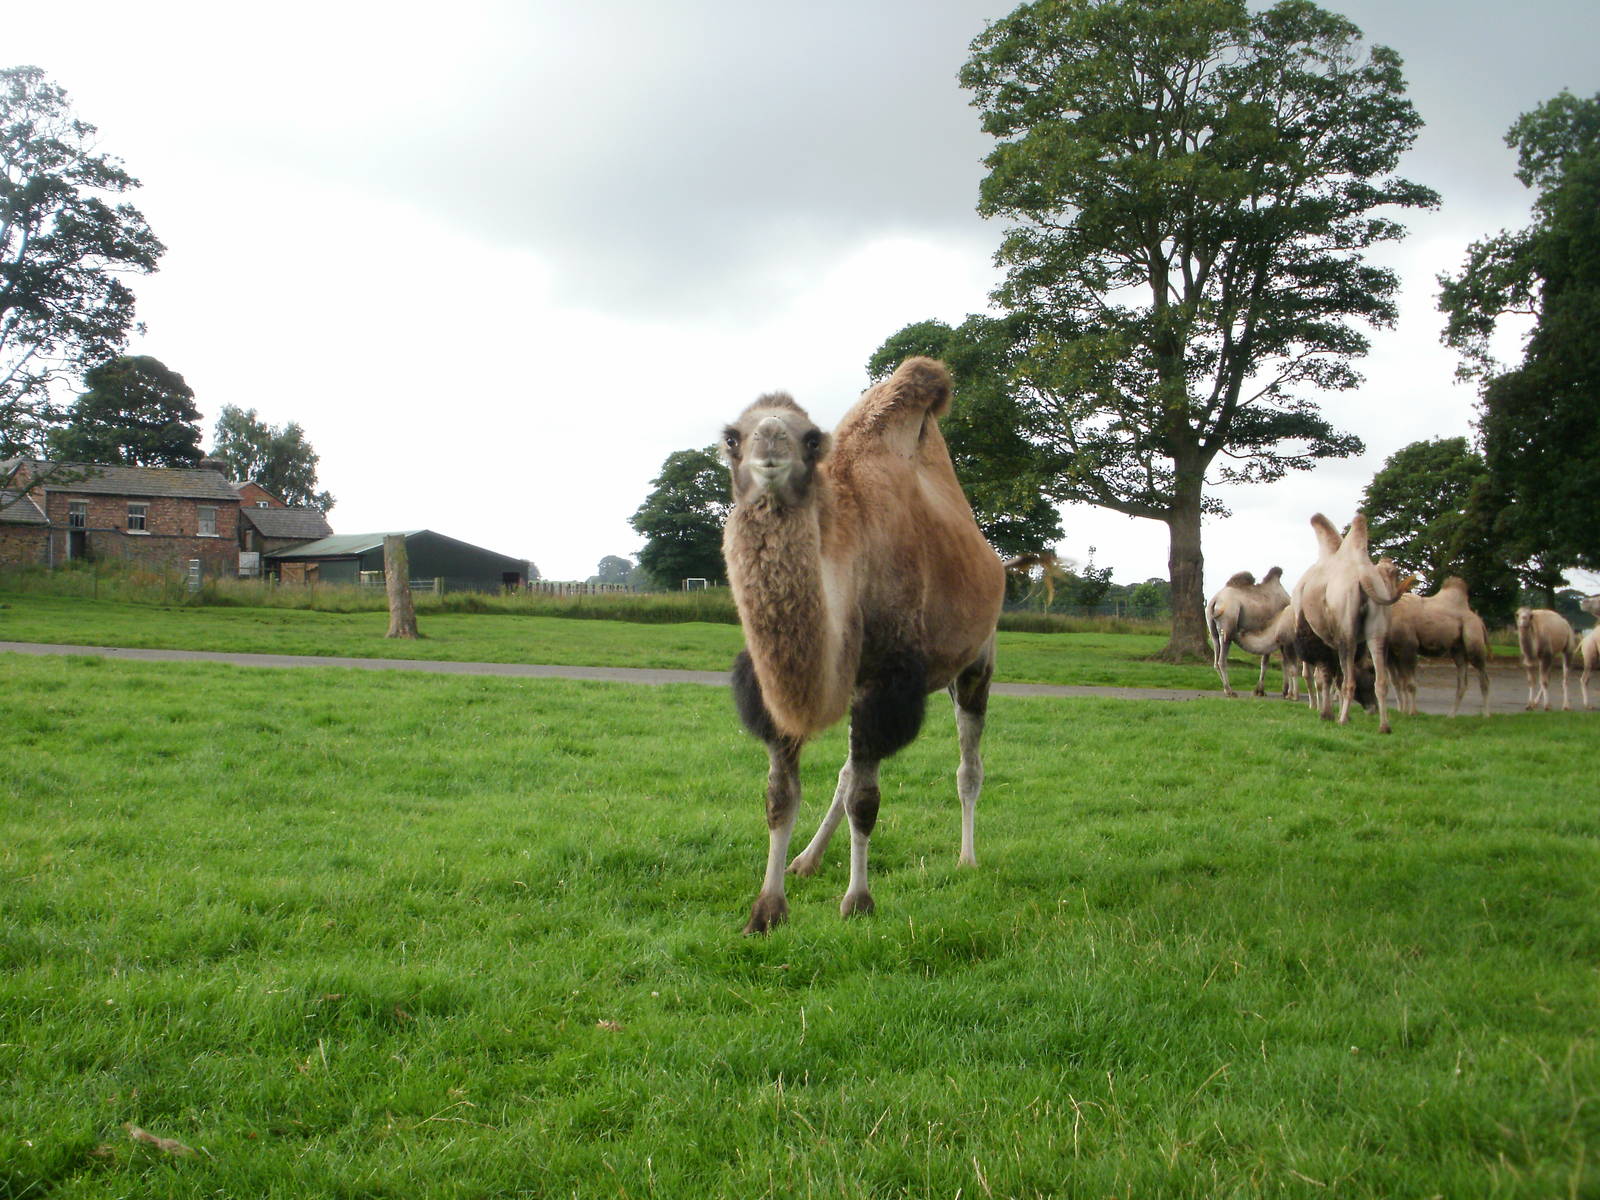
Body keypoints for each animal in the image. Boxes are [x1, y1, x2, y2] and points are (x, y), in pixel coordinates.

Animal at [720, 357, 1006, 934]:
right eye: (732, 437)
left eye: (811, 438)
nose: (769, 445)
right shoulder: (772, 689)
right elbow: (781, 796)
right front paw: (767, 909)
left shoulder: (884, 685)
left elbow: (866, 800)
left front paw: (858, 901)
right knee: (847, 771)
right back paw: (807, 860)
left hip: (976, 664)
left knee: (968, 765)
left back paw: (967, 859)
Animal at [1207, 567, 1291, 698]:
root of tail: (1214, 601)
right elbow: (1273, 661)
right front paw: (1278, 690)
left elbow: (1265, 661)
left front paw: (1259, 690)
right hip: (1228, 626)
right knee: (1221, 661)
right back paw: (1230, 691)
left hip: (1213, 631)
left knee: (1216, 660)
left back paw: (1226, 690)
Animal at [1290, 513, 1413, 733]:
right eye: (1368, 672)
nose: (1371, 708)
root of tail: (1364, 578)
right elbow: (1334, 677)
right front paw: (1330, 712)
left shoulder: (1318, 640)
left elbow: (1325, 677)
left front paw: (1327, 714)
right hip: (1377, 631)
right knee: (1381, 679)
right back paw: (1384, 726)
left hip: (1346, 632)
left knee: (1347, 680)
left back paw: (1343, 719)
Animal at [1386, 578, 1492, 717]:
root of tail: (1479, 620)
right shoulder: (1392, 653)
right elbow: (1398, 682)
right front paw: (1402, 711)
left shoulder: (1408, 647)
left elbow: (1410, 684)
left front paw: (1412, 712)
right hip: (1458, 649)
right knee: (1462, 682)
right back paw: (1451, 715)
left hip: (1473, 640)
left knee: (1484, 678)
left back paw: (1486, 715)